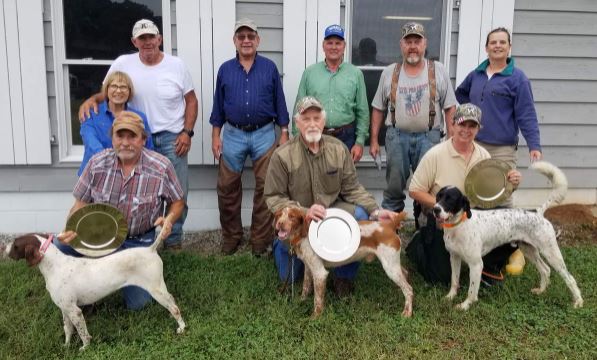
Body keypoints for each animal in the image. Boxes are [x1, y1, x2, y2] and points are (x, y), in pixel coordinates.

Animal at [5, 233, 184, 348]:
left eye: (15, 245)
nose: (2, 247)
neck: (54, 266)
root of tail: (150, 249)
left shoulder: (75, 311)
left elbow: (82, 332)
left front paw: (85, 348)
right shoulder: (65, 309)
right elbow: (68, 329)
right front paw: (66, 346)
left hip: (155, 289)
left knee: (175, 308)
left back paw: (182, 328)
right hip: (160, 288)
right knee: (172, 300)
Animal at [272, 207, 412, 320]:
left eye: (292, 216)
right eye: (279, 215)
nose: (280, 223)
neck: (302, 234)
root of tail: (389, 225)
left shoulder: (320, 273)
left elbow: (317, 300)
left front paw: (315, 317)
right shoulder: (308, 267)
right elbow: (305, 287)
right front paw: (301, 300)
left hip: (390, 266)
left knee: (409, 289)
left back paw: (407, 312)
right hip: (392, 264)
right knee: (405, 273)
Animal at [434, 160, 584, 310]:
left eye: (451, 199)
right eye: (438, 196)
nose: (435, 209)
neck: (459, 225)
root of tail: (538, 212)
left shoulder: (476, 264)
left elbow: (471, 291)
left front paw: (465, 305)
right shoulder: (454, 257)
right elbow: (454, 280)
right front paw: (450, 297)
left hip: (551, 253)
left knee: (569, 278)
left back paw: (578, 301)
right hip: (529, 250)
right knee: (545, 270)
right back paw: (541, 291)